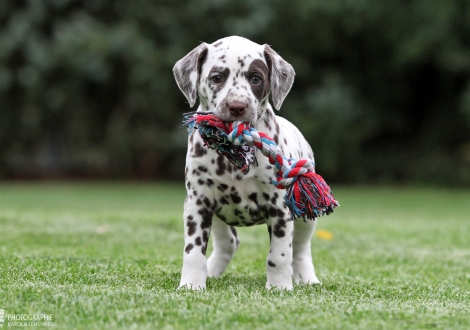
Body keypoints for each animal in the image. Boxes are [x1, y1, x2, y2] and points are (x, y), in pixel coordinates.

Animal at [174, 34, 322, 290]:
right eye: (217, 77)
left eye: (255, 78)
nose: (237, 107)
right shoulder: (197, 202)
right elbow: (193, 251)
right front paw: (191, 284)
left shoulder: (280, 208)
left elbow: (280, 255)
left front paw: (279, 287)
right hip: (218, 214)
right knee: (228, 242)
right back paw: (211, 270)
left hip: (304, 214)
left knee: (301, 249)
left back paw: (307, 278)